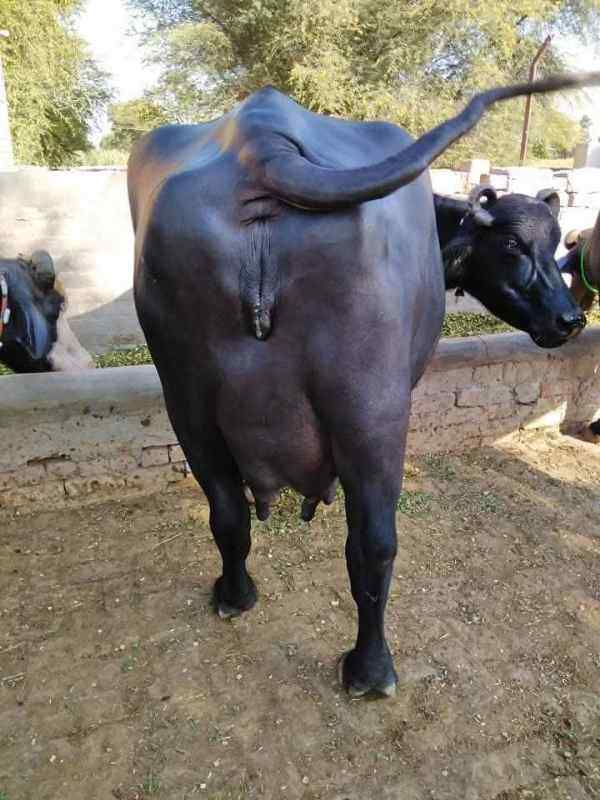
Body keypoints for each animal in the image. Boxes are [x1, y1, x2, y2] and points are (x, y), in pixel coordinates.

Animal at [128, 74, 594, 698]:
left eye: (557, 241)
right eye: (514, 246)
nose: (570, 320)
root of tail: (261, 144)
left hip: (187, 401)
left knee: (226, 510)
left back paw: (235, 596)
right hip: (370, 408)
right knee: (375, 541)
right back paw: (372, 671)